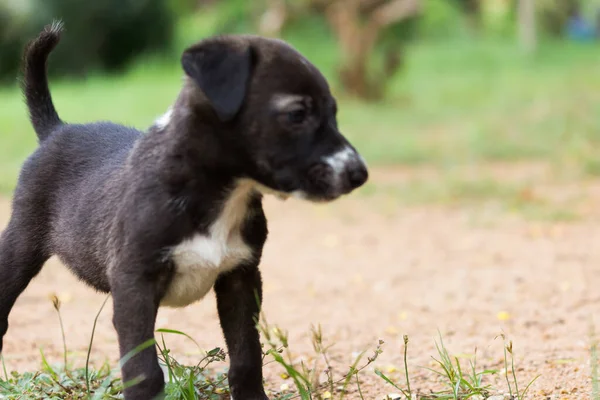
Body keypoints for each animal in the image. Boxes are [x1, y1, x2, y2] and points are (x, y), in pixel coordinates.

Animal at [0, 22, 368, 400]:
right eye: (297, 114)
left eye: (334, 112)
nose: (359, 174)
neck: (218, 192)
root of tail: (55, 130)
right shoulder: (134, 283)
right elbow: (143, 370)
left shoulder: (242, 278)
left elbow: (247, 355)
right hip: (19, 245)